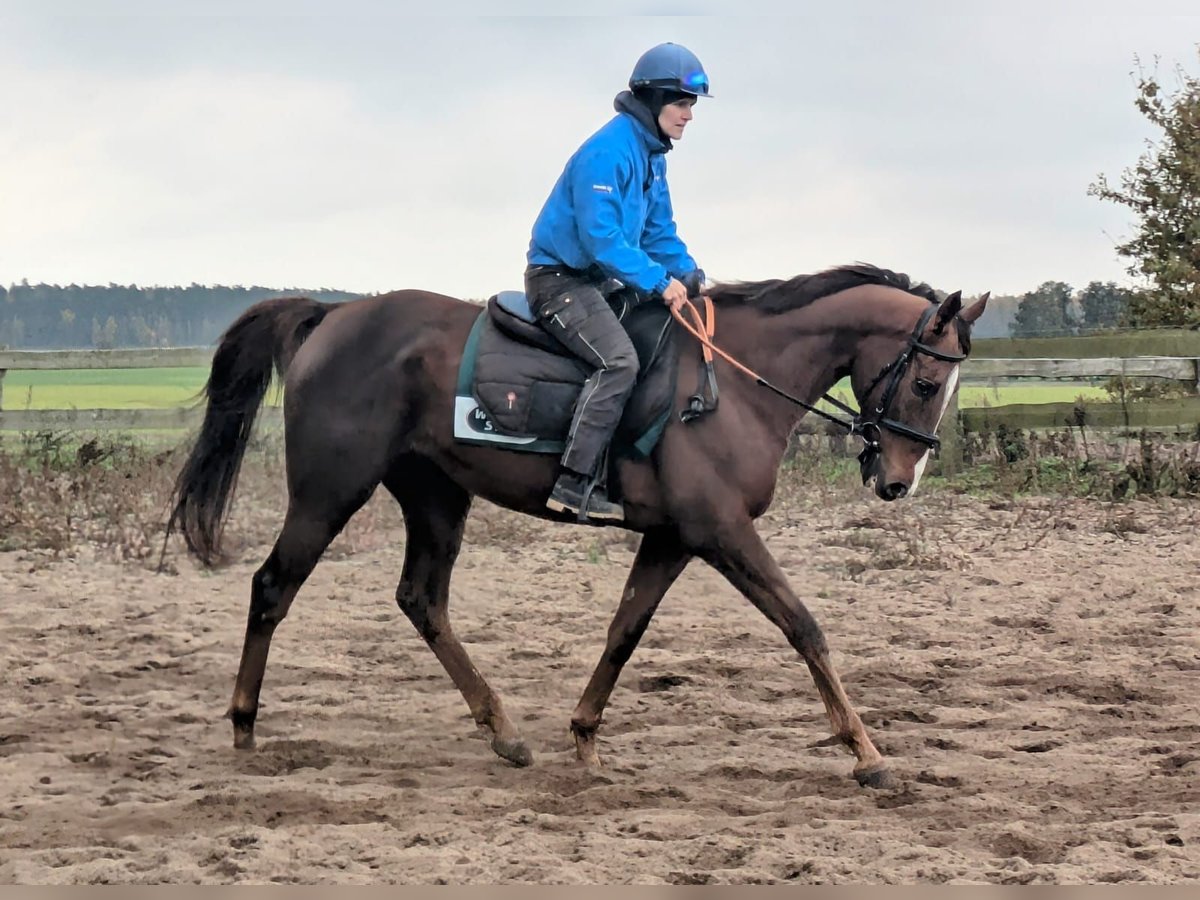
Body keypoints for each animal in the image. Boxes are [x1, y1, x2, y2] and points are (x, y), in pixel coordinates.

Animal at [174, 262, 988, 787]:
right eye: (924, 382)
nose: (898, 481)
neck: (736, 382)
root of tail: (332, 316)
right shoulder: (721, 532)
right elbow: (804, 626)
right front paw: (867, 753)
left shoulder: (673, 537)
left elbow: (624, 631)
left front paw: (585, 737)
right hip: (329, 492)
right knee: (273, 586)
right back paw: (244, 726)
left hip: (436, 497)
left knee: (421, 599)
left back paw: (503, 732)